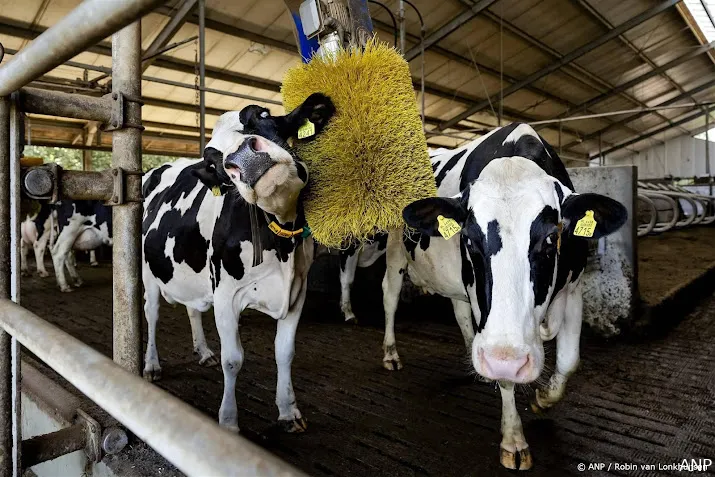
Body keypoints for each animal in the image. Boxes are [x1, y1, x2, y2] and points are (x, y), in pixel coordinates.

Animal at [143, 93, 338, 432]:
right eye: (214, 162)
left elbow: (285, 352)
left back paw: (203, 351)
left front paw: (288, 410)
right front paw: (229, 422)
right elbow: (233, 360)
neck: (280, 241)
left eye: (263, 114)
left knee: (192, 308)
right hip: (147, 270)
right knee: (151, 312)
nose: (243, 157)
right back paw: (152, 364)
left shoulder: (298, 290)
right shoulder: (225, 295)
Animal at [386, 122, 628, 468]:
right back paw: (390, 353)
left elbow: (569, 360)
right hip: (395, 251)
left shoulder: (574, 285)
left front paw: (544, 398)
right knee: (390, 296)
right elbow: (506, 378)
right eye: (469, 239)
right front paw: (513, 439)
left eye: (552, 237)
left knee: (459, 313)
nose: (505, 361)